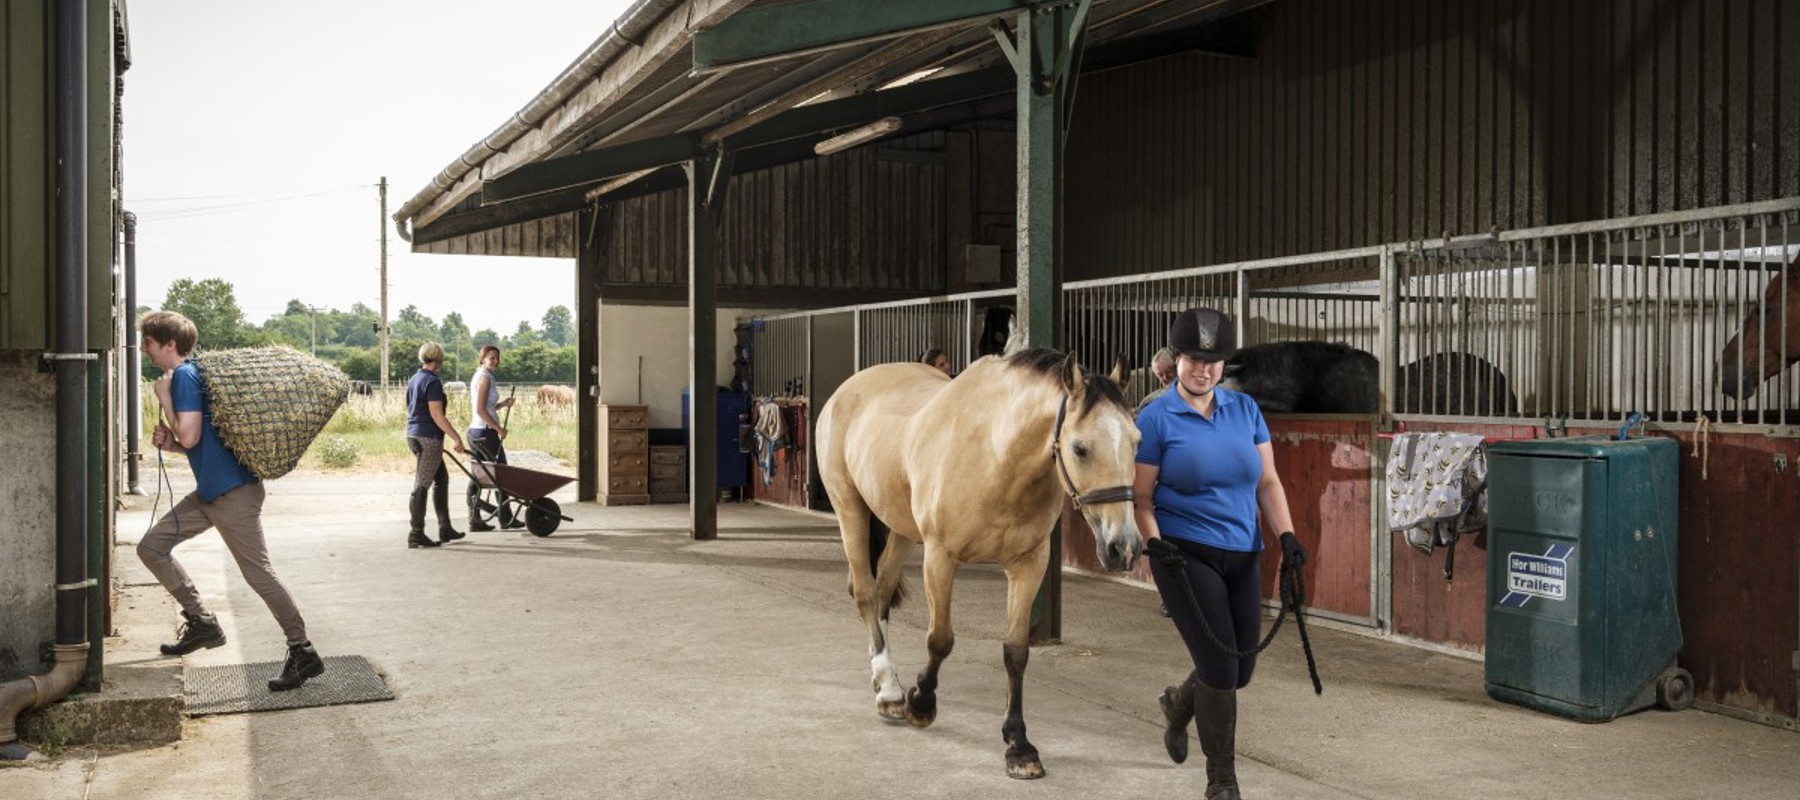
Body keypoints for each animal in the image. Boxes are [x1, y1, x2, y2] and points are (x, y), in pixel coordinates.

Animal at [815, 348, 1143, 780]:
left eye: (1136, 443)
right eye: (1080, 448)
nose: (1124, 548)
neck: (996, 456)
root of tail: (849, 388)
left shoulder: (1029, 564)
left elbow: (1016, 652)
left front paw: (1019, 745)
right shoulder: (940, 557)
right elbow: (940, 640)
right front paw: (921, 703)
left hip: (900, 526)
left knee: (882, 589)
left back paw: (885, 680)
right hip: (849, 508)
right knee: (866, 593)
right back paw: (890, 691)